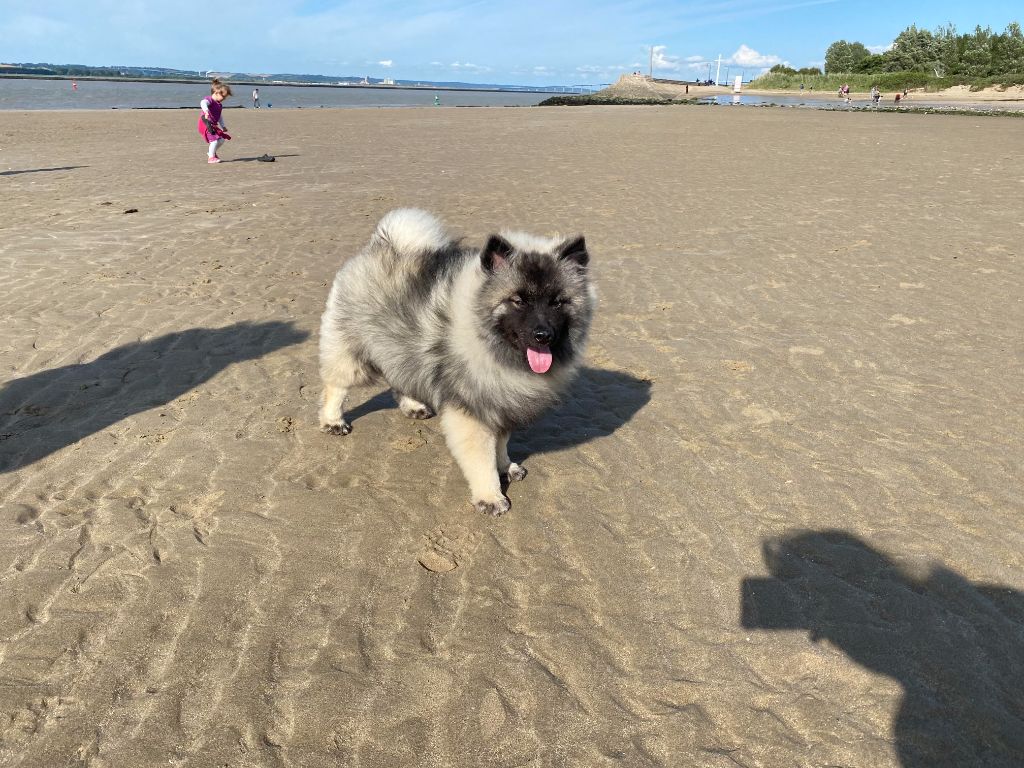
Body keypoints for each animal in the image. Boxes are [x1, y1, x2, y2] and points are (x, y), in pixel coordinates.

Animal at [315, 208, 598, 518]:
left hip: (399, 349)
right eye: (518, 301)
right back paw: (333, 421)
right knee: (336, 387)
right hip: (352, 353)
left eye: (557, 302)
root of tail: (382, 245)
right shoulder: (473, 413)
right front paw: (491, 496)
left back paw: (413, 406)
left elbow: (501, 445)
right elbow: (482, 461)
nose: (543, 335)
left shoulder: (501, 405)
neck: (489, 344)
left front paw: (505, 466)